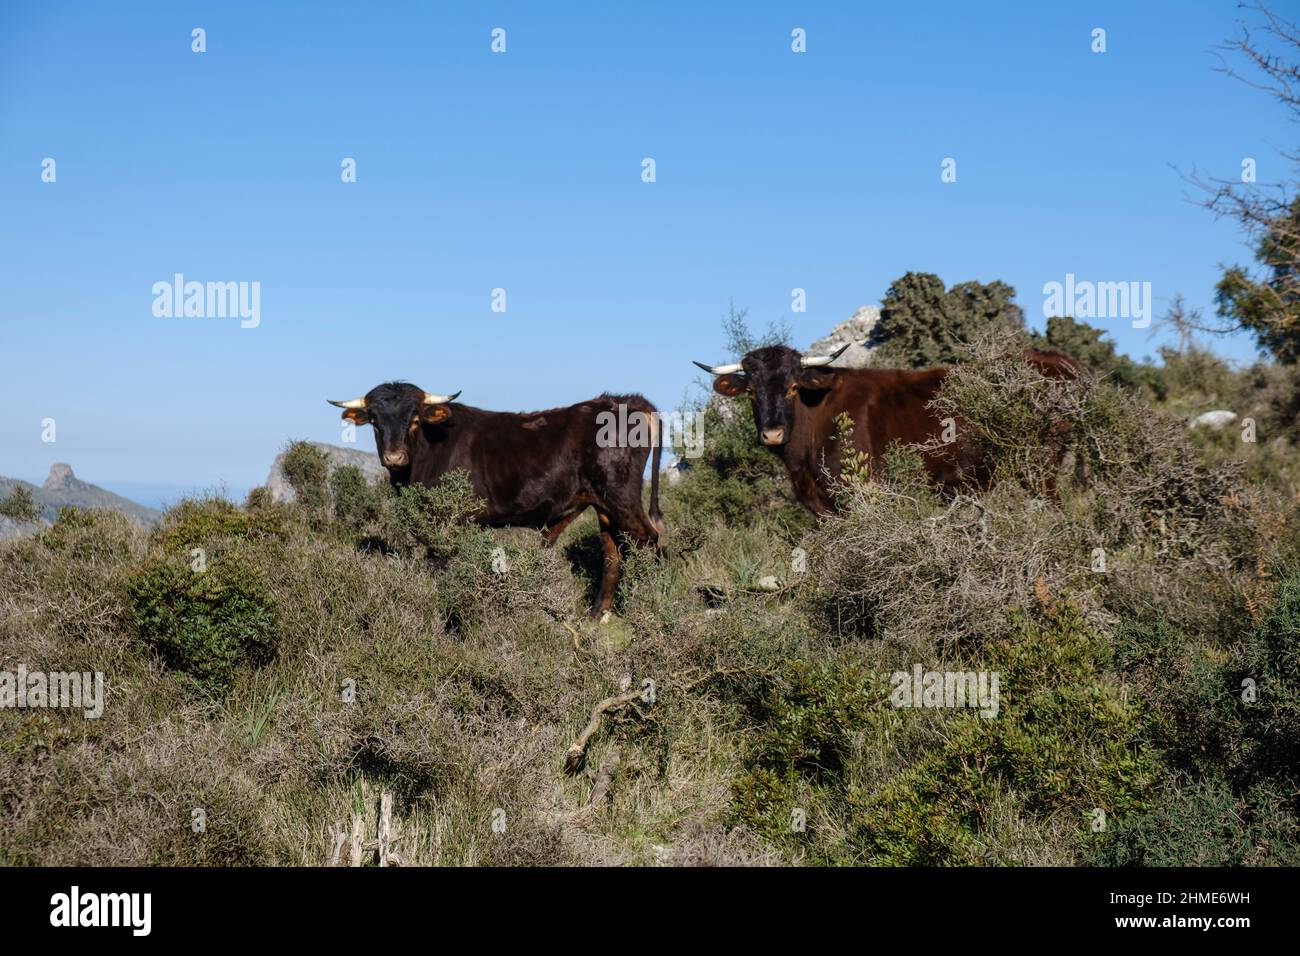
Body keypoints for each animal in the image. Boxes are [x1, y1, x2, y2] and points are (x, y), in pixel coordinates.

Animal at [330, 382, 665, 621]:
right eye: (375, 421)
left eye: (414, 419)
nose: (394, 457)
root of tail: (628, 401)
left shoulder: (451, 521)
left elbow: (442, 565)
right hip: (604, 505)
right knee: (613, 552)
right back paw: (597, 615)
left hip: (622, 497)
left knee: (650, 541)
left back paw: (650, 603)